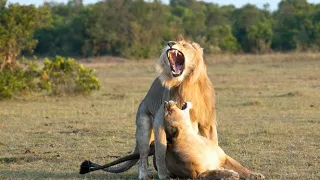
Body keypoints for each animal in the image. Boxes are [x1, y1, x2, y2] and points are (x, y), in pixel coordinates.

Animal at [104, 38, 216, 179]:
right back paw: (143, 175)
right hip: (143, 127)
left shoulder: (207, 123)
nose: (170, 43)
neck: (187, 83)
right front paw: (163, 175)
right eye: (175, 41)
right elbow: (160, 152)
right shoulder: (160, 120)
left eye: (184, 44)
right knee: (143, 156)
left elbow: (213, 142)